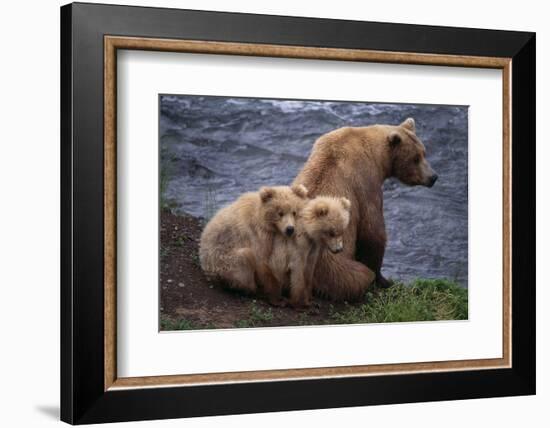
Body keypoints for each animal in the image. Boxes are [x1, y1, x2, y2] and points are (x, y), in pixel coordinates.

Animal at [294, 115, 440, 300]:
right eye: (415, 158)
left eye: (424, 153)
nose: (433, 177)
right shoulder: (365, 183)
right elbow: (373, 232)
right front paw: (384, 280)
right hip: (333, 266)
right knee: (357, 275)